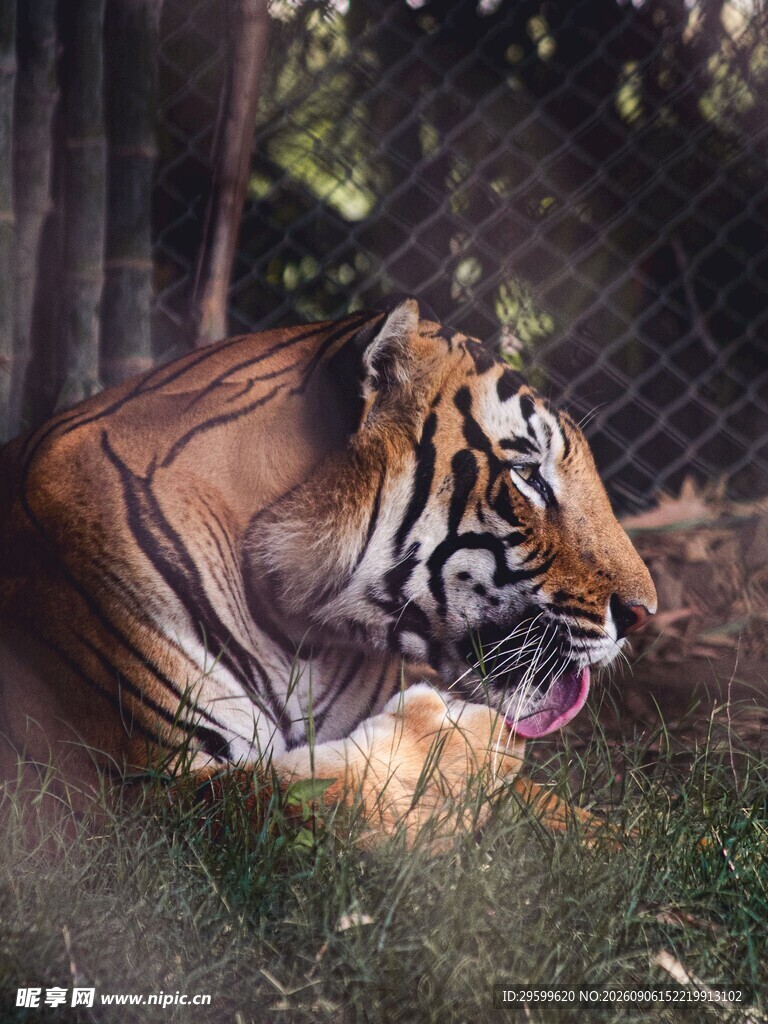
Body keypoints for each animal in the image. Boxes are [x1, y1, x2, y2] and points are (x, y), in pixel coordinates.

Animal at [0, 297, 656, 842]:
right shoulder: (152, 786)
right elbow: (334, 797)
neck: (301, 637)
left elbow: (573, 823)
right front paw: (464, 737)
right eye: (528, 476)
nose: (643, 614)